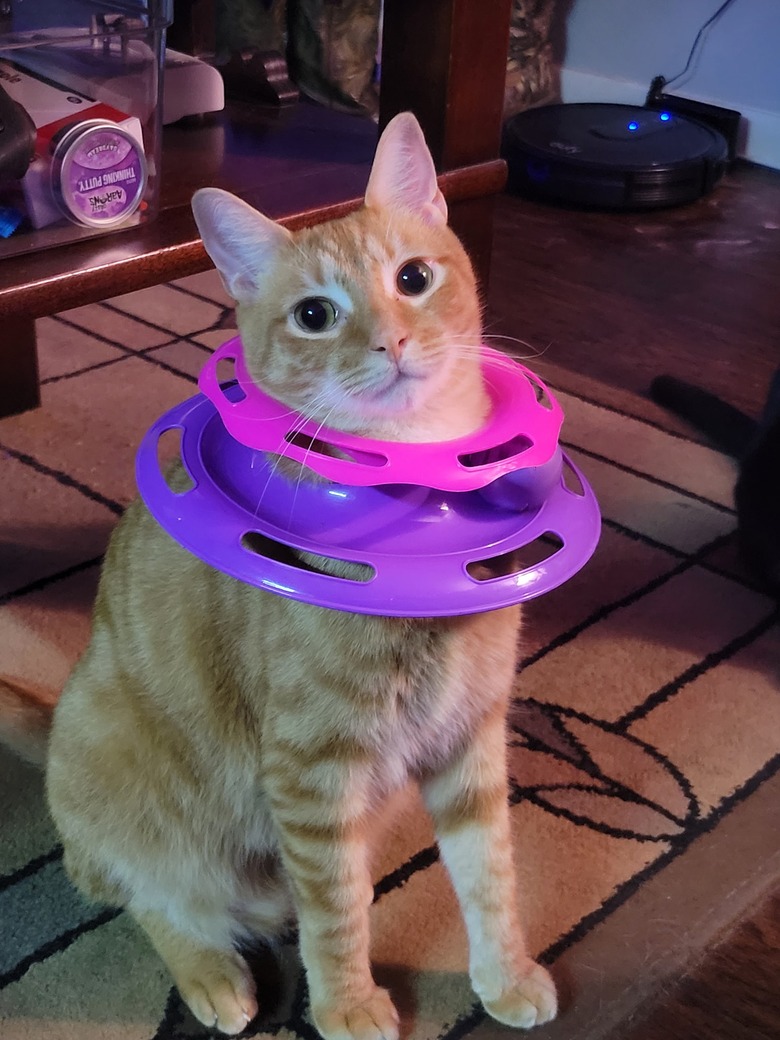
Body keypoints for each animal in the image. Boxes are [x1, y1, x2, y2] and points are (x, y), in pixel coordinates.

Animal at [24, 111, 557, 1031]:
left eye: (413, 278)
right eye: (315, 315)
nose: (392, 340)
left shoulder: (471, 737)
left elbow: (491, 875)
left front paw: (506, 975)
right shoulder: (314, 770)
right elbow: (337, 912)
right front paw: (347, 1006)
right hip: (133, 786)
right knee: (156, 899)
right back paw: (214, 978)